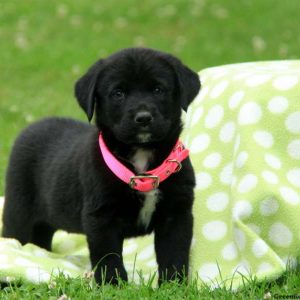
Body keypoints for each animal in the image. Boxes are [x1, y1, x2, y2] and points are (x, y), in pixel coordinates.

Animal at [2, 48, 200, 284]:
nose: (143, 118)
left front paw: (174, 285)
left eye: (158, 89)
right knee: (15, 238)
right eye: (118, 93)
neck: (141, 159)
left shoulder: (176, 214)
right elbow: (108, 256)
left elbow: (174, 253)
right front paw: (113, 284)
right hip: (18, 211)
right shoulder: (101, 217)